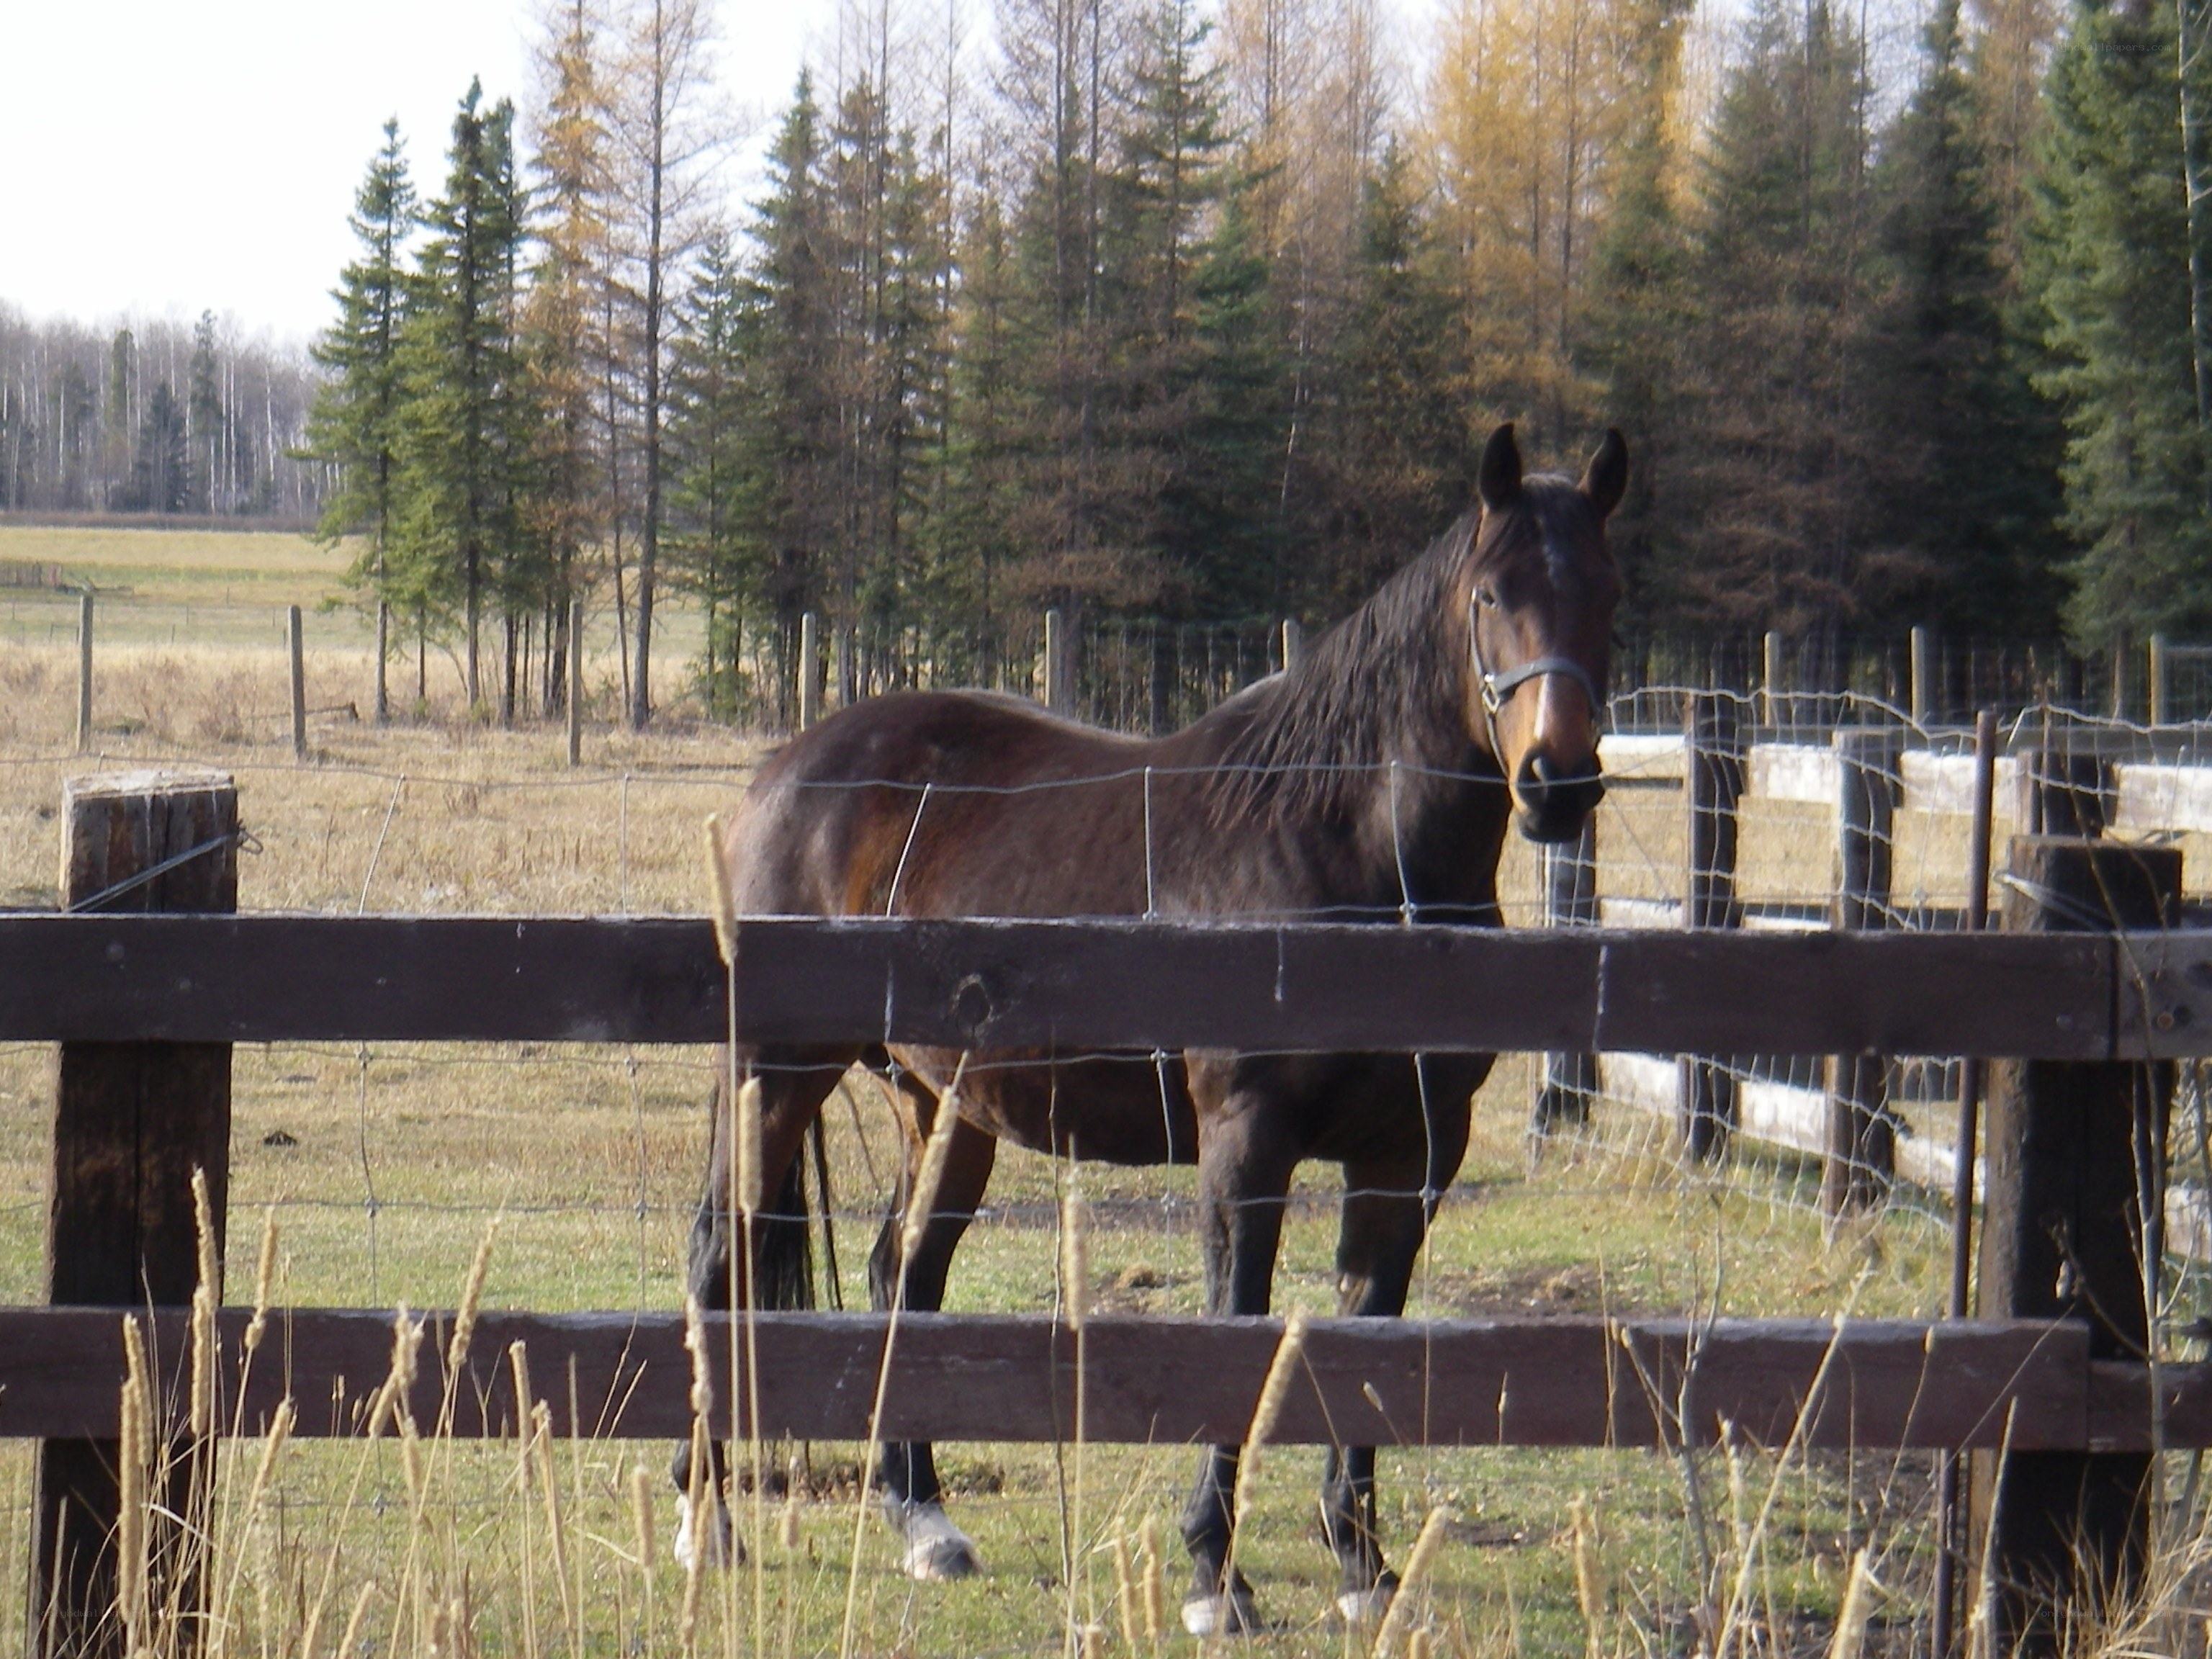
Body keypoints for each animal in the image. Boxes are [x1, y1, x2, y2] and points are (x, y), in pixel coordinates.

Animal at [677, 422, 1626, 1633]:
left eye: (1606, 593)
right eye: (1493, 593)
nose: (1559, 782)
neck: (1342, 848)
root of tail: (784, 772)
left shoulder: (1413, 1156)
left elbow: (1366, 1334)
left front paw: (1363, 1570)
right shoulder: (1247, 1142)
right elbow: (1238, 1331)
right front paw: (1216, 1573)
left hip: (940, 1102)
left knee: (905, 1274)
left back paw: (922, 1519)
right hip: (778, 1072)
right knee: (721, 1256)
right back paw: (708, 1522)